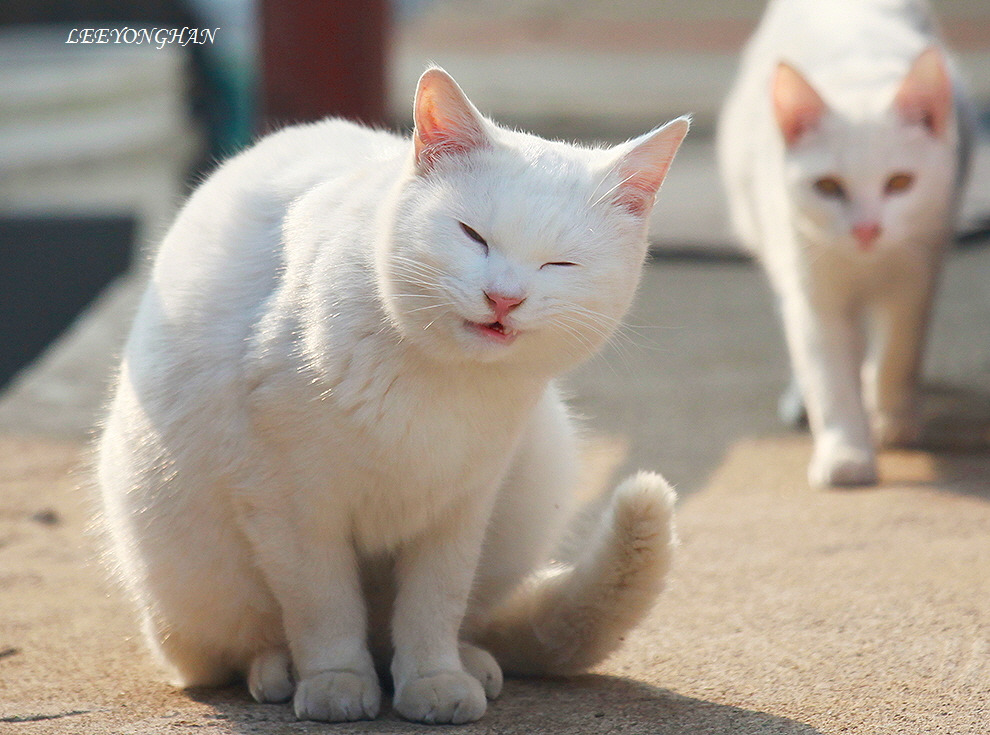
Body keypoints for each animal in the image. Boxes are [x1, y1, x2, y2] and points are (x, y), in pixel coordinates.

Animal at [99, 67, 688, 724]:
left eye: (560, 264)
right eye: (472, 236)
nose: (504, 298)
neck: (442, 383)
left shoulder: (462, 506)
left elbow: (434, 605)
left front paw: (435, 679)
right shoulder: (292, 505)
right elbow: (323, 606)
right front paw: (334, 681)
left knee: (431, 627)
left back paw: (470, 663)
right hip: (185, 571)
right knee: (235, 649)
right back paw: (279, 670)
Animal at [716, 0, 972, 488]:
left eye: (899, 183)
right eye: (829, 187)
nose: (866, 229)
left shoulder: (917, 273)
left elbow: (898, 349)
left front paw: (894, 416)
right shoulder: (811, 283)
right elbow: (828, 372)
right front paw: (845, 451)